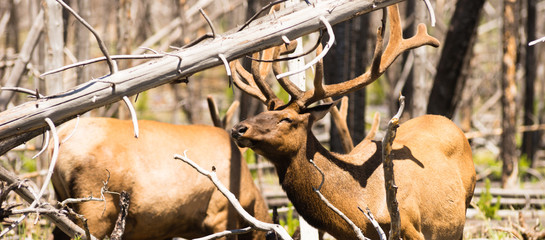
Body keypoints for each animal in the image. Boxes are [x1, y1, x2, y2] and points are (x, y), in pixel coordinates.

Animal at [230, 4, 476, 240]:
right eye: (264, 111)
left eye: (287, 119)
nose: (238, 128)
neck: (356, 207)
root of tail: (450, 123)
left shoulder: (409, 225)